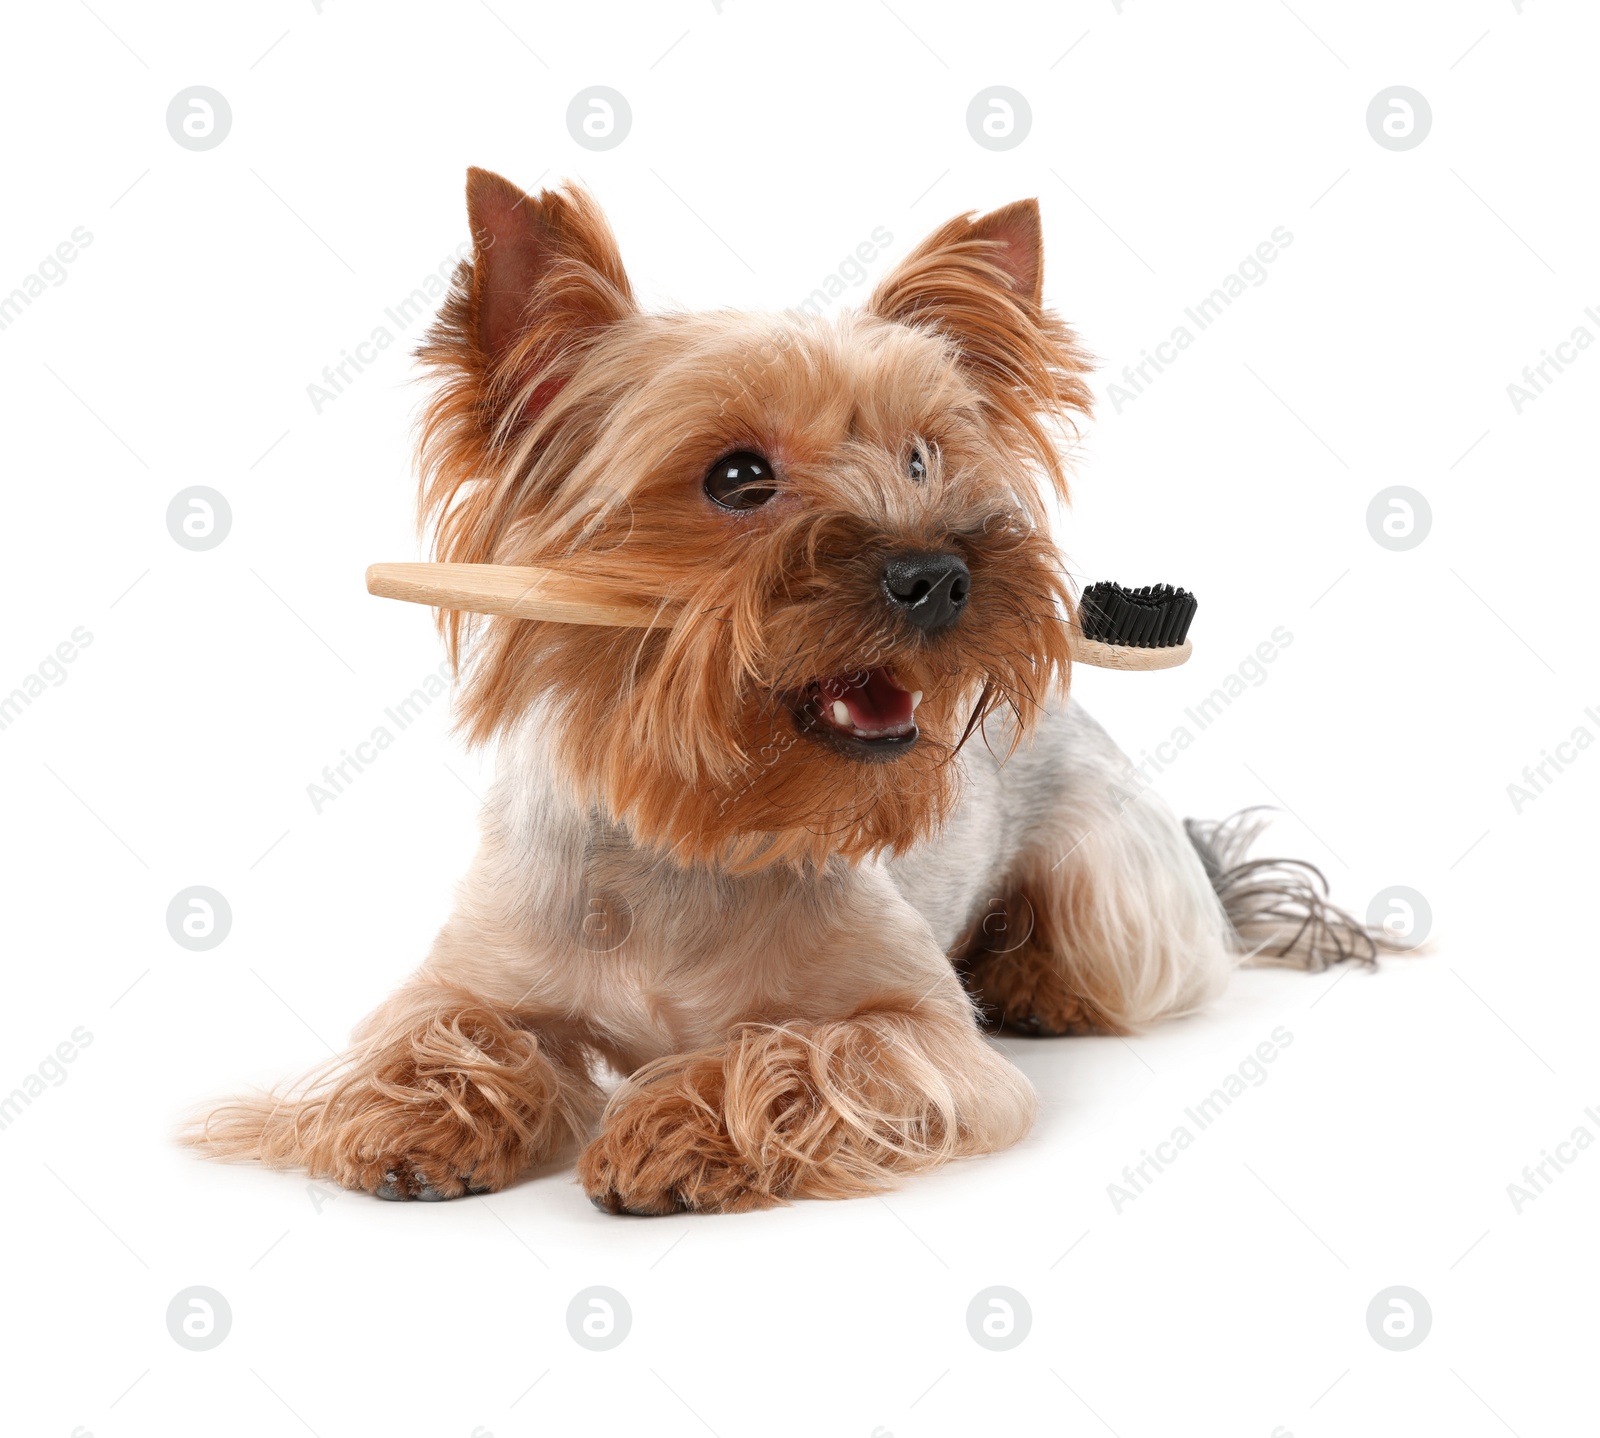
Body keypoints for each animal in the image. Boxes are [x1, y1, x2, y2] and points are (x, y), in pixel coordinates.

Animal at [184, 174, 1376, 1222]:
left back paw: (1039, 981)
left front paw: (678, 1126)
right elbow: (443, 1032)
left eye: (921, 457)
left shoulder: (927, 1036)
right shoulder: (468, 976)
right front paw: (424, 1118)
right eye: (737, 478)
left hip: (1112, 884)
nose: (940, 573)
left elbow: (812, 1047)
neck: (693, 827)